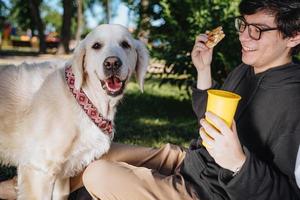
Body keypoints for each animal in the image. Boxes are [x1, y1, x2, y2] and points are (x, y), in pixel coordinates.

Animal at [0, 24, 149, 199]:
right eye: (96, 46)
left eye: (125, 44)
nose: (112, 63)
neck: (83, 98)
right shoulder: (38, 170)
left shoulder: (62, 175)